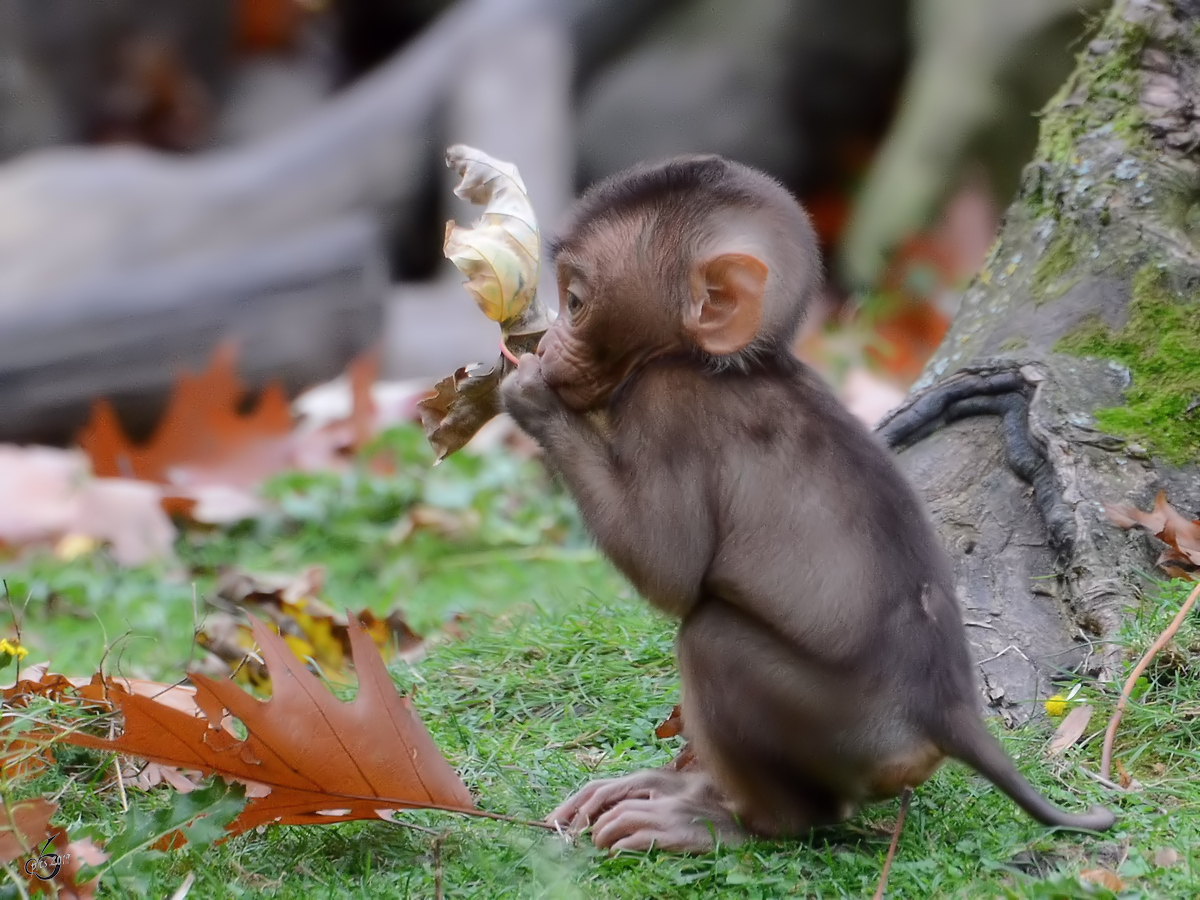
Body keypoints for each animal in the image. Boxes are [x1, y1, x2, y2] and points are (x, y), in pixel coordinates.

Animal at [499, 154, 1113, 854]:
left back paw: (731, 821)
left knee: (714, 638)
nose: (544, 344)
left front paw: (529, 396)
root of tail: (950, 712)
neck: (732, 365)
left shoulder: (667, 400)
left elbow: (672, 572)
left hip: (849, 732)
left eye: (575, 302)